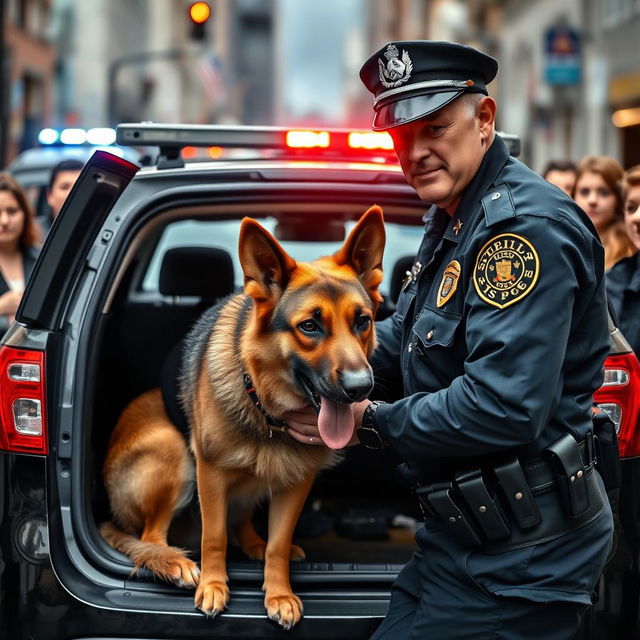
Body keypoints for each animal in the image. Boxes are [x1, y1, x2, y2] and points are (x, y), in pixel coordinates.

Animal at [101, 206, 384, 632]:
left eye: (362, 322)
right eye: (309, 326)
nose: (360, 389)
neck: (268, 411)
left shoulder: (296, 483)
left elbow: (277, 546)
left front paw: (278, 593)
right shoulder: (210, 474)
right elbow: (214, 537)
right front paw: (214, 586)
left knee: (243, 525)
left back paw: (253, 544)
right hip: (172, 452)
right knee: (151, 537)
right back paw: (173, 562)